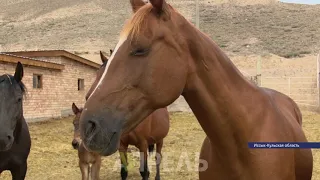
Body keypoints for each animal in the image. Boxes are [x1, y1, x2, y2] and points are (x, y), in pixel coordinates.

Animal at [82, 50, 170, 180]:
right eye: (97, 73)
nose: (88, 97)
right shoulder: (122, 145)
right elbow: (124, 171)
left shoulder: (142, 144)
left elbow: (144, 172)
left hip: (160, 140)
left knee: (158, 157)